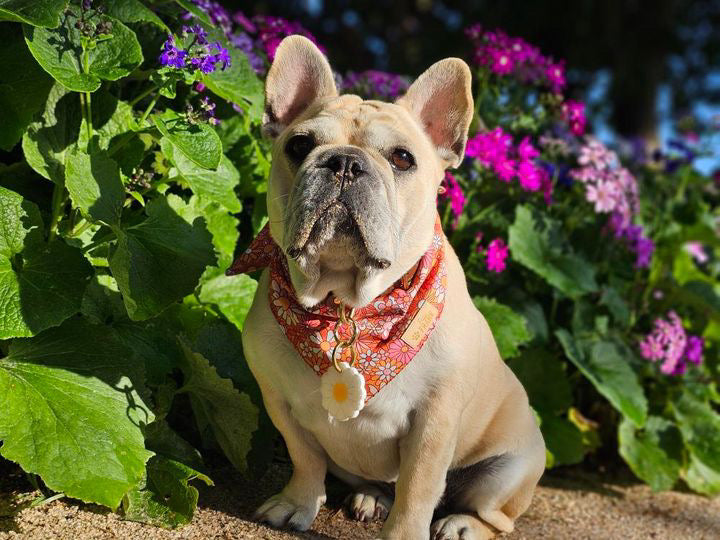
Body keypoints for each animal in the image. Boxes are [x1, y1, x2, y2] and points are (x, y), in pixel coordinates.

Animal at [236, 35, 544, 536]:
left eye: (402, 158)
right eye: (299, 145)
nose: (343, 162)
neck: (348, 306)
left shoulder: (434, 423)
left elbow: (418, 489)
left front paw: (404, 532)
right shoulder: (279, 403)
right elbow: (305, 458)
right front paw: (299, 503)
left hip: (506, 475)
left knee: (495, 516)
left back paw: (463, 523)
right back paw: (370, 497)